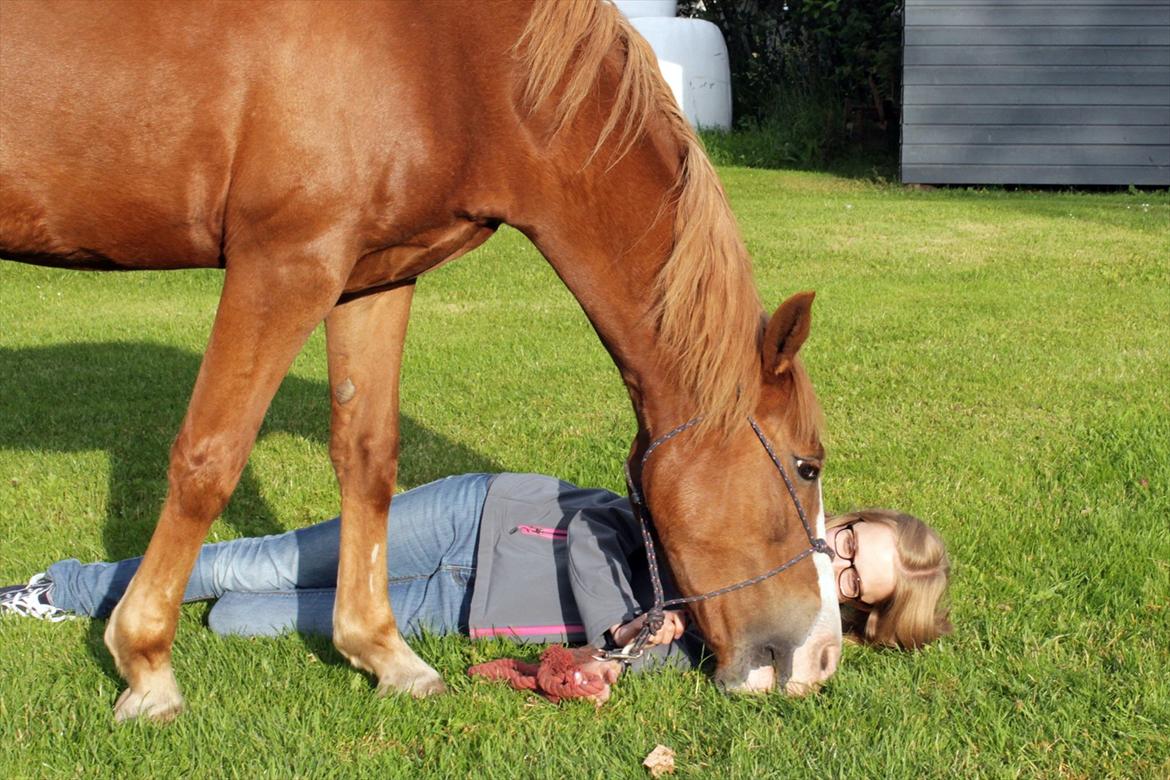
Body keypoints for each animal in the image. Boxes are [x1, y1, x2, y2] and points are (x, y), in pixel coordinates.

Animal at [2, 0, 842, 720]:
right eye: (807, 465)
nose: (823, 658)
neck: (449, 58)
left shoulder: (372, 277)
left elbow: (367, 457)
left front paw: (384, 654)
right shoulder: (284, 265)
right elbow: (210, 459)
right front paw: (146, 666)